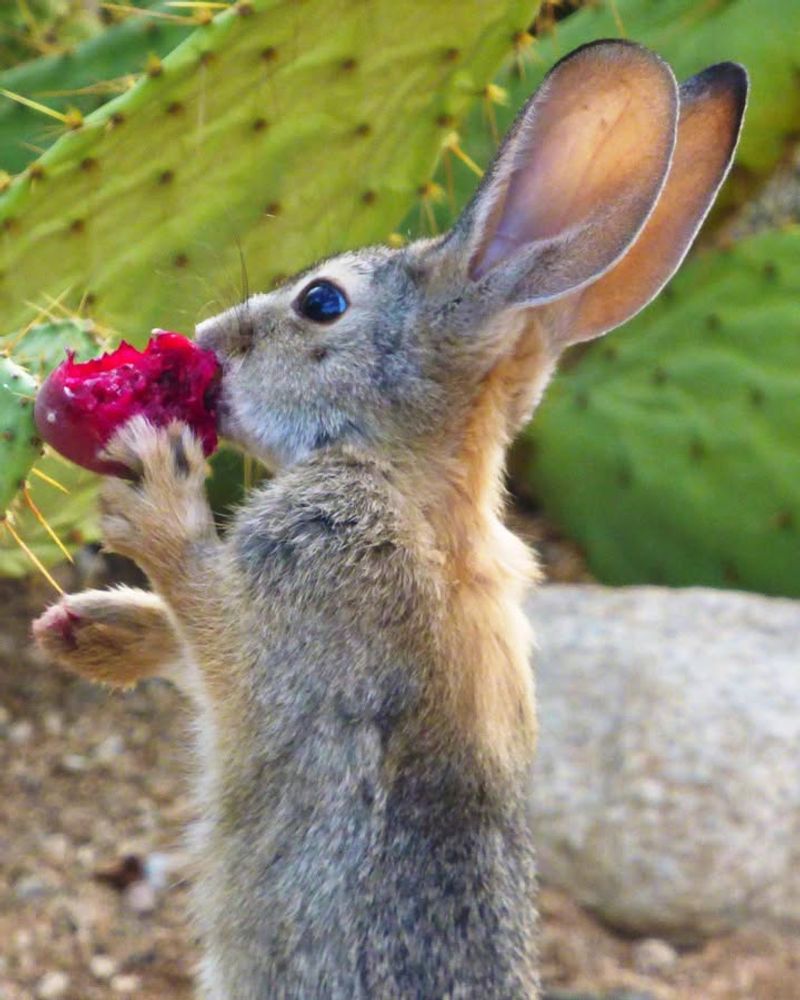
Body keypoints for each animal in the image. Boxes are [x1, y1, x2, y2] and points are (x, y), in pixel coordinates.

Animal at [33, 40, 747, 1000]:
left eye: (321, 302)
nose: (208, 338)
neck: (416, 486)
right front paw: (93, 629)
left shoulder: (308, 595)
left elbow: (210, 619)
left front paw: (153, 494)